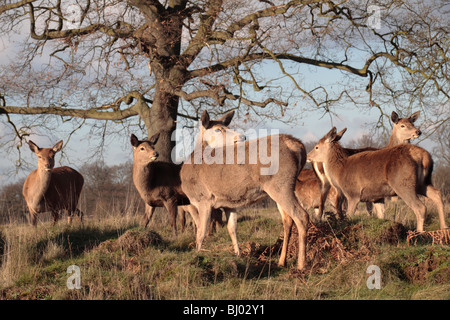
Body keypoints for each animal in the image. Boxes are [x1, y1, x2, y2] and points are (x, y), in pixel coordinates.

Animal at [179, 110, 310, 270]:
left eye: (226, 127)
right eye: (218, 129)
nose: (242, 137)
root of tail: (297, 145)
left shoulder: (203, 198)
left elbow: (201, 231)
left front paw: (198, 255)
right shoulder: (229, 203)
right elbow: (231, 228)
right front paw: (238, 254)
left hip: (280, 184)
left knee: (301, 216)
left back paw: (301, 264)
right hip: (283, 187)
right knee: (287, 220)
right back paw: (281, 261)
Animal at [306, 126, 446, 231]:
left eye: (317, 147)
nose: (307, 156)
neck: (339, 172)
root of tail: (424, 156)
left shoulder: (353, 194)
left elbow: (349, 216)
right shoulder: (377, 196)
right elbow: (380, 215)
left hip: (403, 184)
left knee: (420, 207)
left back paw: (420, 233)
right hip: (423, 182)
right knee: (437, 194)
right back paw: (444, 228)